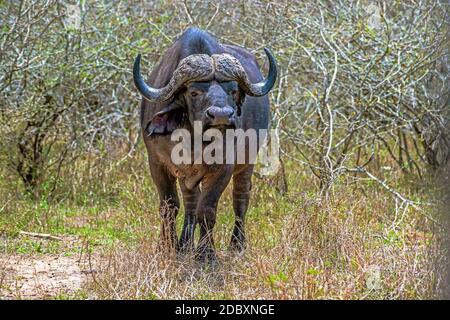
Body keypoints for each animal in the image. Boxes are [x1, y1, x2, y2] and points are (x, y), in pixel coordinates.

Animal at [132, 26, 276, 262]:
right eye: (194, 91)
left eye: (233, 90)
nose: (221, 115)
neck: (195, 140)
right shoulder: (157, 164)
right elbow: (170, 206)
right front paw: (167, 247)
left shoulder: (223, 168)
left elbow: (207, 209)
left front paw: (206, 253)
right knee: (190, 202)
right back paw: (184, 245)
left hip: (247, 164)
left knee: (240, 199)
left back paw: (237, 244)